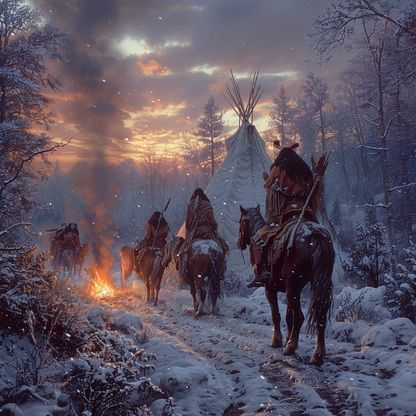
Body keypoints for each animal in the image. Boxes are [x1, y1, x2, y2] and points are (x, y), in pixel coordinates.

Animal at [239, 205, 334, 364]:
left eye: (240, 221)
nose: (239, 243)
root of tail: (316, 234)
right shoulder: (292, 289)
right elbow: (289, 316)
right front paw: (287, 340)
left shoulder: (270, 288)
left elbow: (276, 315)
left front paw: (277, 341)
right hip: (311, 286)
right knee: (320, 315)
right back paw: (317, 354)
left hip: (292, 288)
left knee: (300, 316)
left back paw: (290, 348)